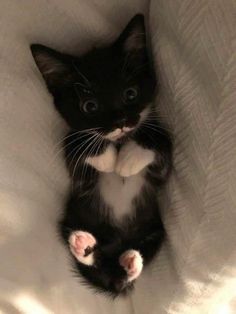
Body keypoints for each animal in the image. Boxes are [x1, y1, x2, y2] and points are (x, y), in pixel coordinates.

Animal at [30, 14, 171, 294]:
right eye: (89, 106)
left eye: (131, 94)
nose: (120, 122)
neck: (118, 140)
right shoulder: (81, 181)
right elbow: (71, 142)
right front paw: (106, 157)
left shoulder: (160, 175)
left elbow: (162, 141)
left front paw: (128, 158)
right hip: (73, 217)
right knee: (95, 261)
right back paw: (84, 245)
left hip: (155, 231)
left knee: (129, 268)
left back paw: (130, 262)